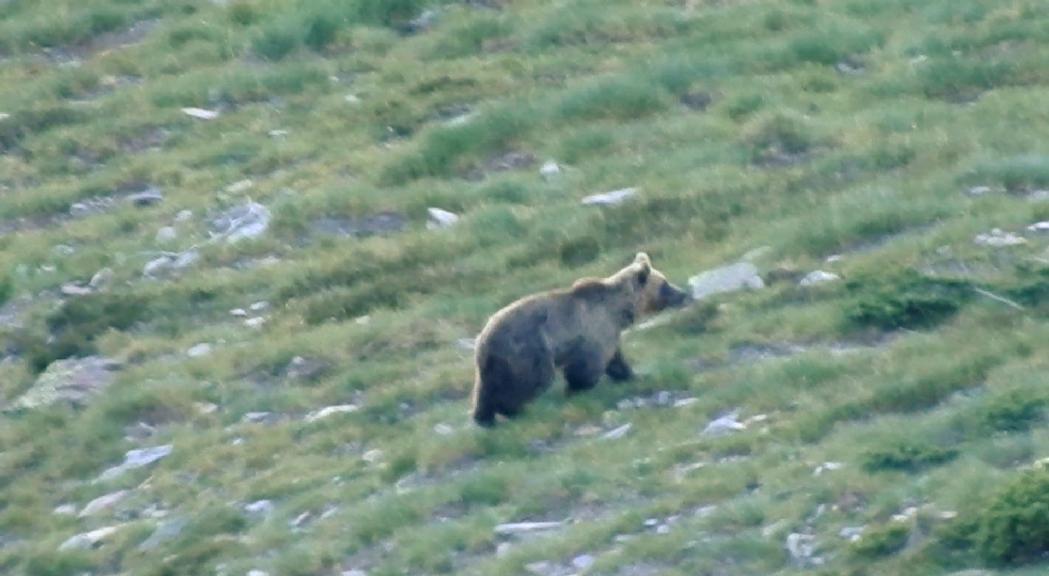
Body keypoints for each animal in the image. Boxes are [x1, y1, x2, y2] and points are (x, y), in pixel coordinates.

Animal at [472, 251, 692, 425]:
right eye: (665, 283)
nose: (683, 294)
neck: (619, 310)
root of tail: (484, 341)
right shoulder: (595, 330)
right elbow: (587, 366)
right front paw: (576, 388)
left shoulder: (608, 334)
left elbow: (615, 361)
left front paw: (632, 375)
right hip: (528, 350)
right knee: (532, 381)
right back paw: (516, 410)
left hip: (495, 365)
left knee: (484, 391)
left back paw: (484, 417)